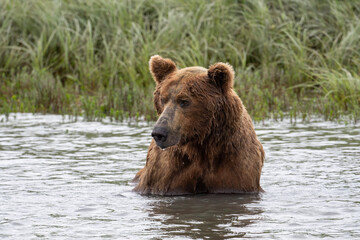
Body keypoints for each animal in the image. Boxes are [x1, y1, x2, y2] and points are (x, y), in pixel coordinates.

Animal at [133, 54, 264, 195]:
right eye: (162, 99)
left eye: (184, 101)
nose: (159, 133)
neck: (201, 144)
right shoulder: (166, 171)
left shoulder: (236, 166)